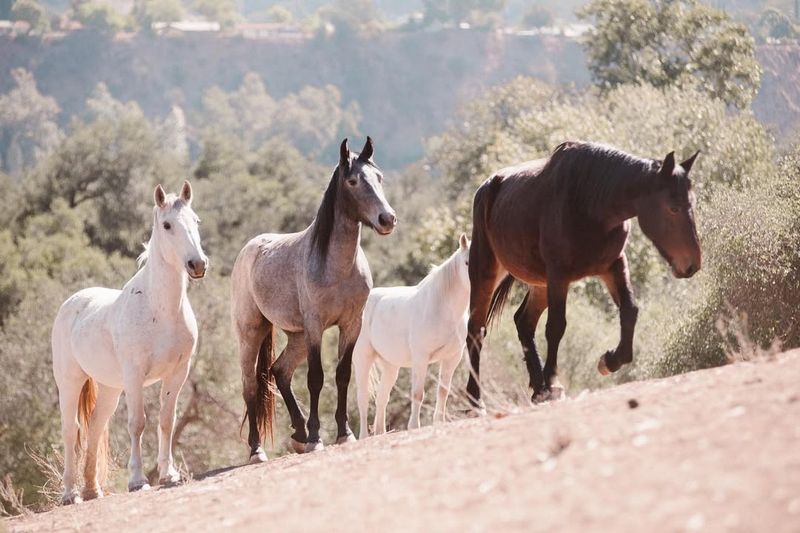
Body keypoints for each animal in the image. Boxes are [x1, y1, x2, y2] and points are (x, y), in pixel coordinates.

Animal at [50, 182, 206, 502]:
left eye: (196, 221)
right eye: (167, 225)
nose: (197, 264)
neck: (159, 309)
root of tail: (72, 303)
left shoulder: (177, 373)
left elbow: (166, 421)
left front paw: (169, 474)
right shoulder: (135, 376)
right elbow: (138, 423)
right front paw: (137, 480)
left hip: (110, 388)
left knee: (95, 427)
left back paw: (92, 490)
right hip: (70, 382)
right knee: (71, 430)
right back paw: (70, 493)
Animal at [230, 137, 396, 462]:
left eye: (379, 177)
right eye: (353, 180)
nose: (387, 219)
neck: (336, 268)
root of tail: (249, 249)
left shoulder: (351, 325)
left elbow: (342, 374)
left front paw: (344, 433)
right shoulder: (316, 327)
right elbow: (316, 378)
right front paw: (317, 438)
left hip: (296, 336)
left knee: (280, 371)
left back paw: (298, 432)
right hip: (252, 333)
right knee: (250, 386)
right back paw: (258, 449)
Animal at [354, 233, 472, 436]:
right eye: (466, 262)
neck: (442, 307)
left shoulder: (452, 358)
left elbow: (443, 391)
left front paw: (439, 422)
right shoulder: (421, 358)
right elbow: (418, 394)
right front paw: (414, 426)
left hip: (390, 366)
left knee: (381, 398)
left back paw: (380, 432)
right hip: (363, 359)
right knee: (363, 398)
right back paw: (363, 436)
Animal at [462, 141, 700, 404]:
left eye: (693, 203)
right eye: (673, 208)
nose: (692, 264)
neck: (589, 203)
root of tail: (487, 186)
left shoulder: (614, 266)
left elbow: (630, 311)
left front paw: (610, 360)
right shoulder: (559, 275)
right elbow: (556, 326)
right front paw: (552, 379)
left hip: (540, 284)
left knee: (523, 322)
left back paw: (539, 388)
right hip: (486, 274)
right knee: (475, 331)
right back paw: (475, 399)